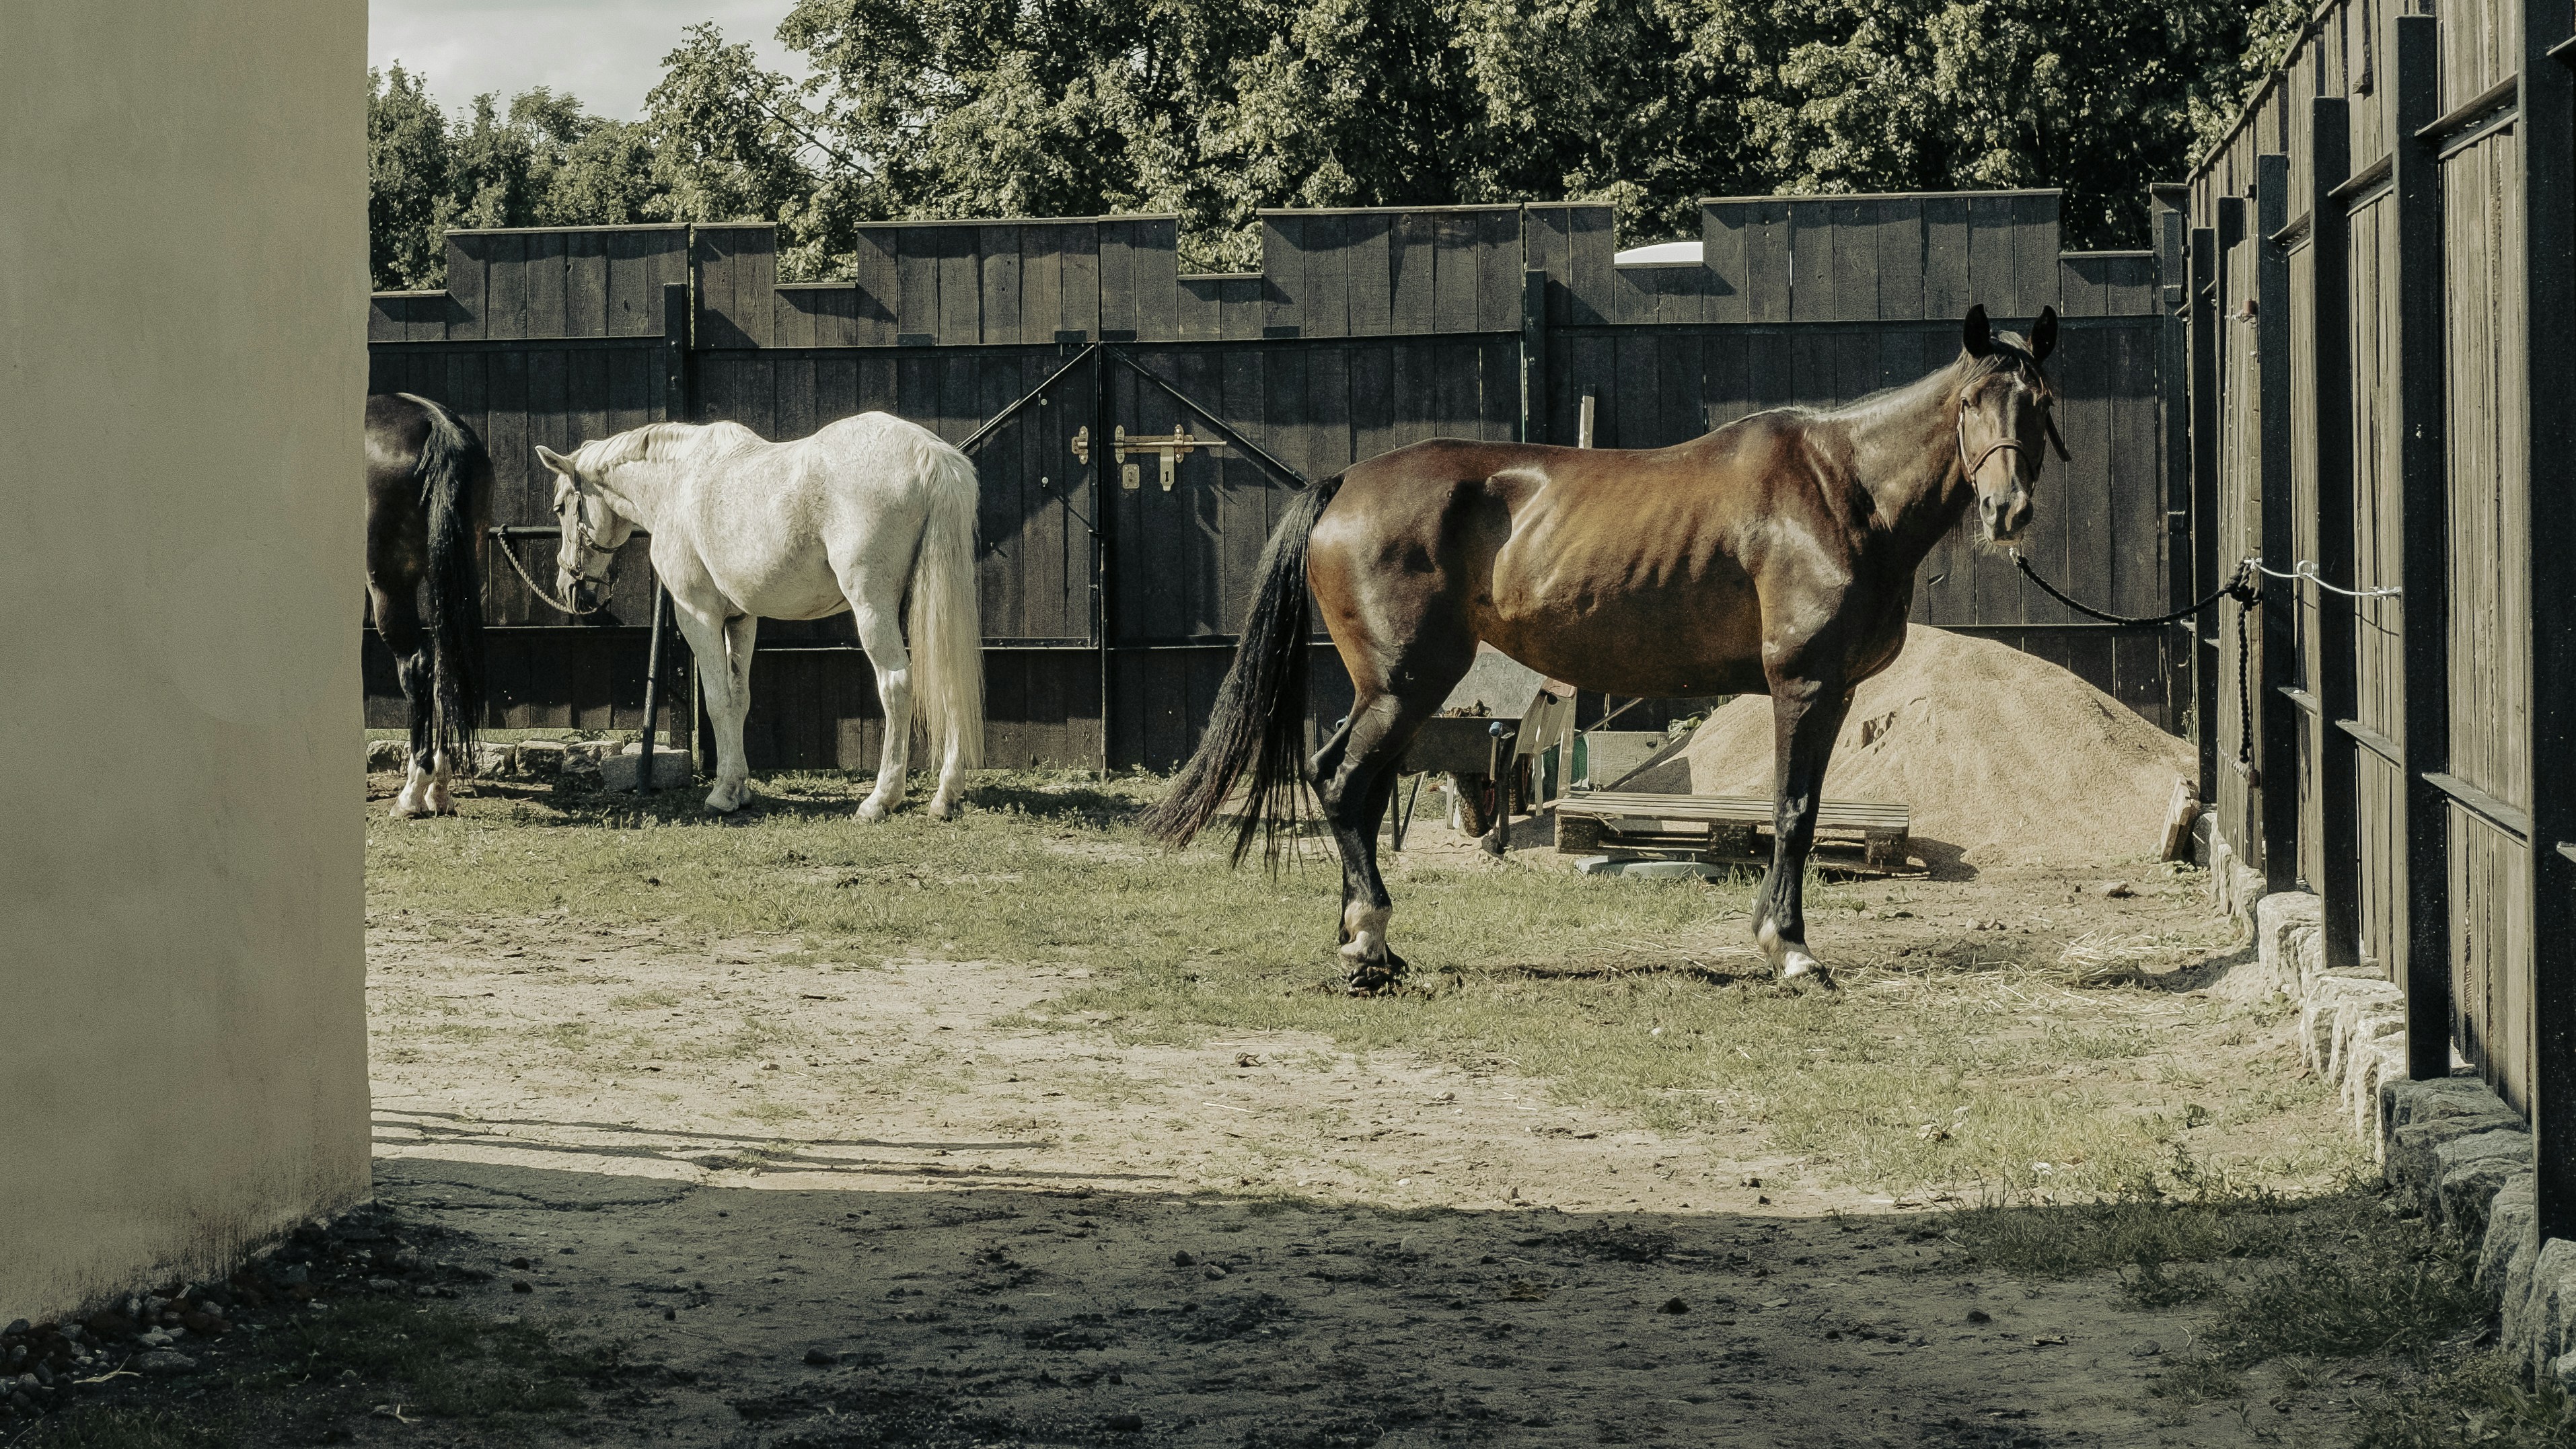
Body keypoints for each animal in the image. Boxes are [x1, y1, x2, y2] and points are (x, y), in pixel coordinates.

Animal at [366, 392, 490, 817]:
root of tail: (439, 427)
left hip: (389, 587)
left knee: (418, 664)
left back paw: (412, 794)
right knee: (446, 666)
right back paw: (439, 786)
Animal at [533, 413, 985, 819]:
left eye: (560, 508)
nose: (570, 587)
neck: (678, 483)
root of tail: (931, 454)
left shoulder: (698, 616)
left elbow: (717, 701)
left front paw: (721, 794)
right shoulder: (741, 620)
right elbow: (739, 699)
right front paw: (740, 789)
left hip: (872, 607)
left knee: (896, 685)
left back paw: (881, 800)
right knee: (949, 675)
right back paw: (946, 796)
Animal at [1144, 304, 2064, 991]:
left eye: (2041, 403)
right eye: (1971, 402)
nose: (2008, 509)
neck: (1839, 491)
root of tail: (1343, 488)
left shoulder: (1831, 694)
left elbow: (1796, 813)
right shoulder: (1803, 686)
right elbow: (1792, 814)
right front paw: (1791, 951)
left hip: (1398, 693)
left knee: (1358, 792)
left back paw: (1368, 946)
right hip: (1405, 684)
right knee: (1340, 783)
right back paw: (1368, 941)